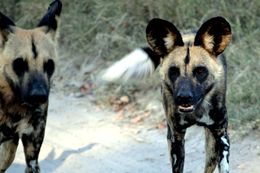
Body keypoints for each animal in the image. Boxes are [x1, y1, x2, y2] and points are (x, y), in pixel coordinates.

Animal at [101, 16, 232, 173]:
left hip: (212, 149)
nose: (184, 97)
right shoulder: (176, 139)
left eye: (200, 71)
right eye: (173, 71)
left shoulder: (221, 137)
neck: (196, 111)